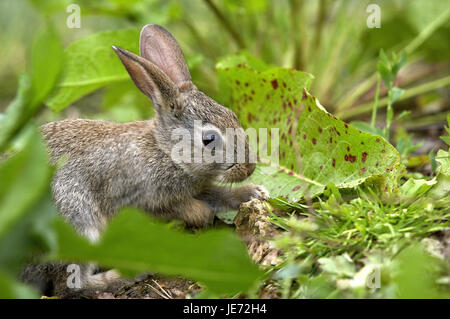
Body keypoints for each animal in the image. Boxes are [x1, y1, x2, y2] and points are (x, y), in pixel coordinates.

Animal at [31, 24, 268, 296]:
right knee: (71, 284)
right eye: (209, 139)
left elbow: (219, 195)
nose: (249, 168)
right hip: (77, 221)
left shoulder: (197, 186)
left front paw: (254, 192)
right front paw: (201, 215)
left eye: (232, 115)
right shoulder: (141, 198)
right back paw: (129, 273)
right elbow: (176, 207)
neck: (167, 152)